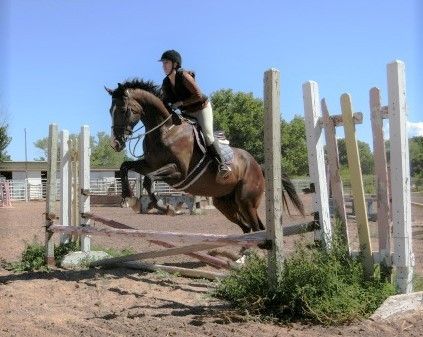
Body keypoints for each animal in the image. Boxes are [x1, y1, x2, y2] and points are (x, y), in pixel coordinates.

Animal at [106, 79, 304, 235]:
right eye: (110, 110)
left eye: (123, 110)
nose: (116, 144)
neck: (166, 130)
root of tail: (258, 165)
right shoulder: (149, 164)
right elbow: (125, 167)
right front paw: (129, 198)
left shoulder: (179, 172)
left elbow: (148, 179)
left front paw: (163, 206)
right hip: (225, 203)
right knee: (247, 228)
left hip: (247, 201)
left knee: (257, 227)